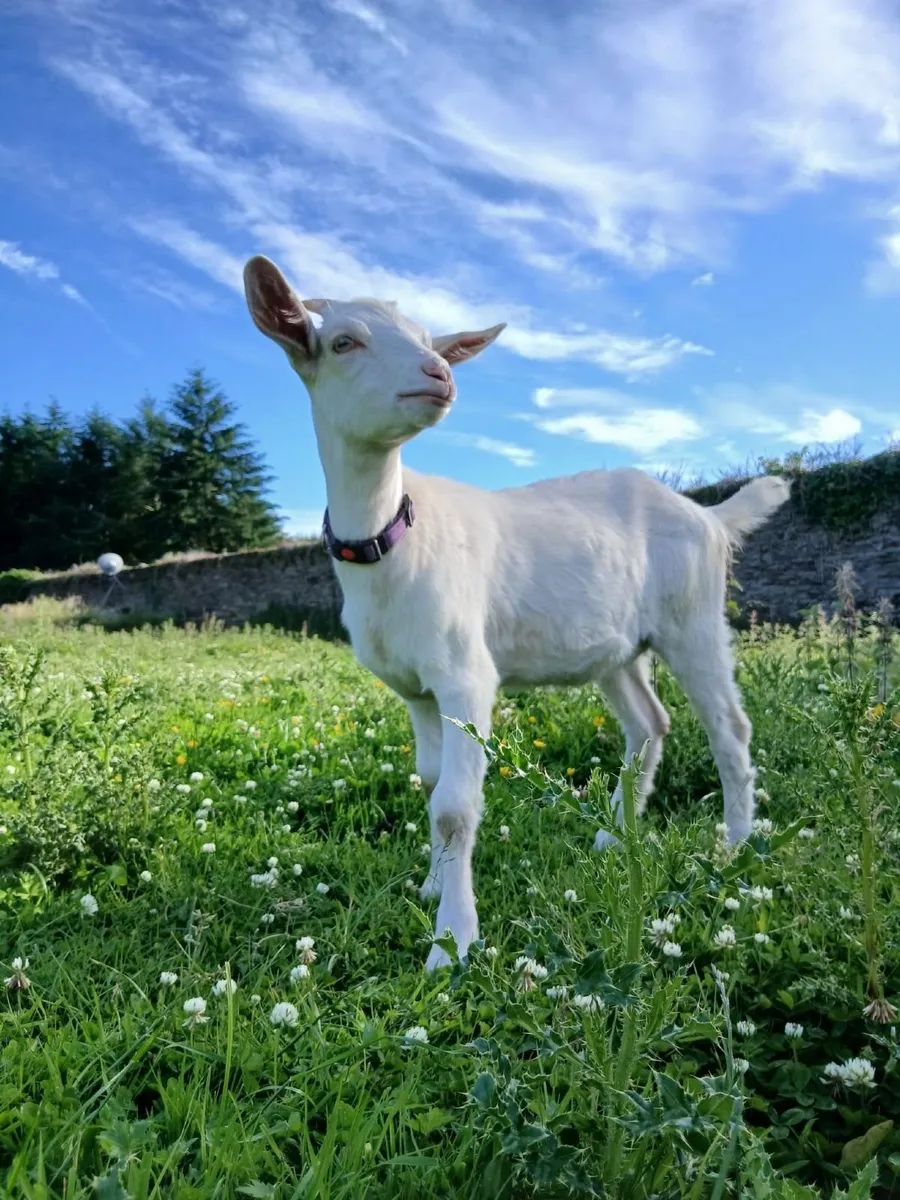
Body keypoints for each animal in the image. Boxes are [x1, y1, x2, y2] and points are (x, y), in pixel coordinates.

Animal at [243, 255, 791, 970]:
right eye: (343, 342)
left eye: (429, 339)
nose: (439, 373)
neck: (393, 540)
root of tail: (708, 514)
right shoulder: (415, 690)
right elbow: (429, 783)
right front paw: (432, 884)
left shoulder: (465, 675)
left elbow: (454, 806)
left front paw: (452, 943)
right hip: (617, 646)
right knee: (650, 723)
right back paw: (617, 836)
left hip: (693, 618)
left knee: (729, 726)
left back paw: (735, 843)